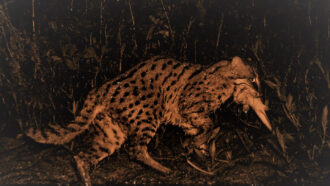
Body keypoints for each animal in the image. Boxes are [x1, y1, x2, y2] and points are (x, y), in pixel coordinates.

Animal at [27, 56, 272, 185]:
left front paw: (198, 148)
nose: (260, 92)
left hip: (110, 132)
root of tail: (99, 91)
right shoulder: (187, 104)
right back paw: (163, 169)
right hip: (147, 116)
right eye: (253, 78)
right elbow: (211, 124)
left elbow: (201, 130)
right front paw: (199, 143)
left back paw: (86, 178)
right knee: (134, 149)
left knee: (82, 155)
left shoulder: (184, 117)